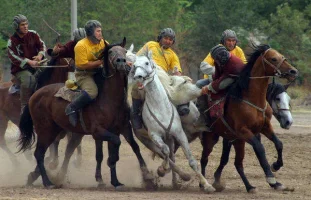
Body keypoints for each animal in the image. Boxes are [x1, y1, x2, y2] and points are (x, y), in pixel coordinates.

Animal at [17, 37, 146, 189]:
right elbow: (113, 148)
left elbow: (128, 147)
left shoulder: (123, 128)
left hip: (56, 130)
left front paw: (117, 181)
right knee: (39, 154)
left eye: (124, 51)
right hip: (45, 130)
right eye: (111, 52)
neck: (110, 99)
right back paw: (48, 182)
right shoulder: (98, 131)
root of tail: (35, 95)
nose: (122, 62)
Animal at [131, 52, 214, 193]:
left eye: (147, 63)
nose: (138, 77)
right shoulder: (155, 136)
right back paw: (171, 173)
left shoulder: (179, 134)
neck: (160, 107)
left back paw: (176, 181)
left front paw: (207, 185)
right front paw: (161, 169)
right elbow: (165, 151)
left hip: (170, 138)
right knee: (166, 155)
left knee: (172, 157)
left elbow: (192, 161)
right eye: (134, 65)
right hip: (148, 141)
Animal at [199, 44, 298, 192]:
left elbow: (279, 143)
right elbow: (259, 149)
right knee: (204, 159)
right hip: (210, 138)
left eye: (289, 99)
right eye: (273, 59)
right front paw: (271, 177)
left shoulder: (263, 127)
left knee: (237, 163)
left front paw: (276, 167)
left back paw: (249, 186)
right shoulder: (243, 132)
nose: (293, 71)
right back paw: (204, 184)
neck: (251, 99)